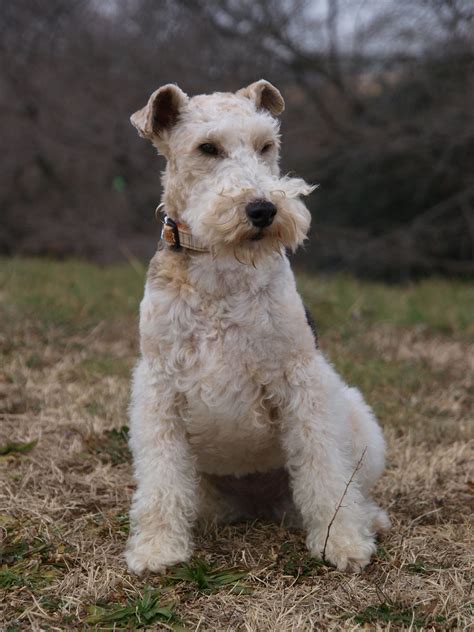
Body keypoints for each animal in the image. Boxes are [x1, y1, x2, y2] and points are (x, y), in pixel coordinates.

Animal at [126, 79, 388, 572]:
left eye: (267, 146)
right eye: (207, 148)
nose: (264, 210)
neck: (221, 267)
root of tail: (260, 505)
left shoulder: (300, 377)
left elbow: (325, 469)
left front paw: (341, 543)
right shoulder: (159, 387)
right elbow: (161, 479)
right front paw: (157, 549)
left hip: (355, 417)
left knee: (349, 484)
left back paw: (370, 520)